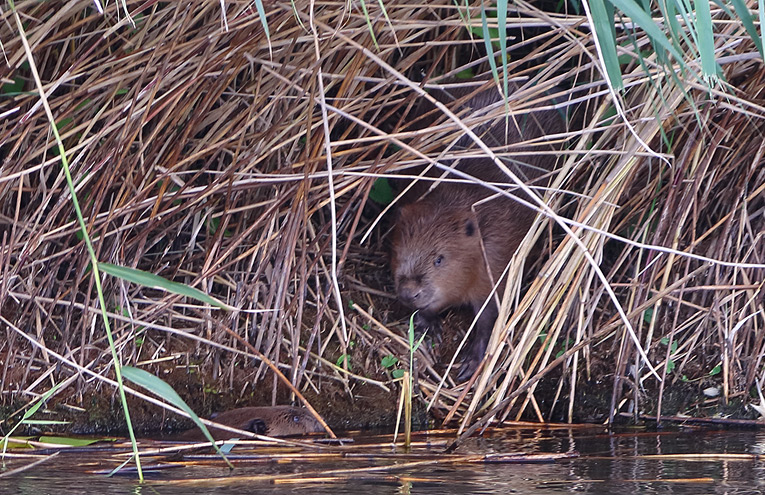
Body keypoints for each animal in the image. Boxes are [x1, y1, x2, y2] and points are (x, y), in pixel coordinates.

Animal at [390, 83, 564, 382]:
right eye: (399, 252)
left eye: (439, 259)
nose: (409, 292)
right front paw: (429, 326)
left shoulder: (499, 256)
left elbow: (489, 311)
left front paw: (470, 362)